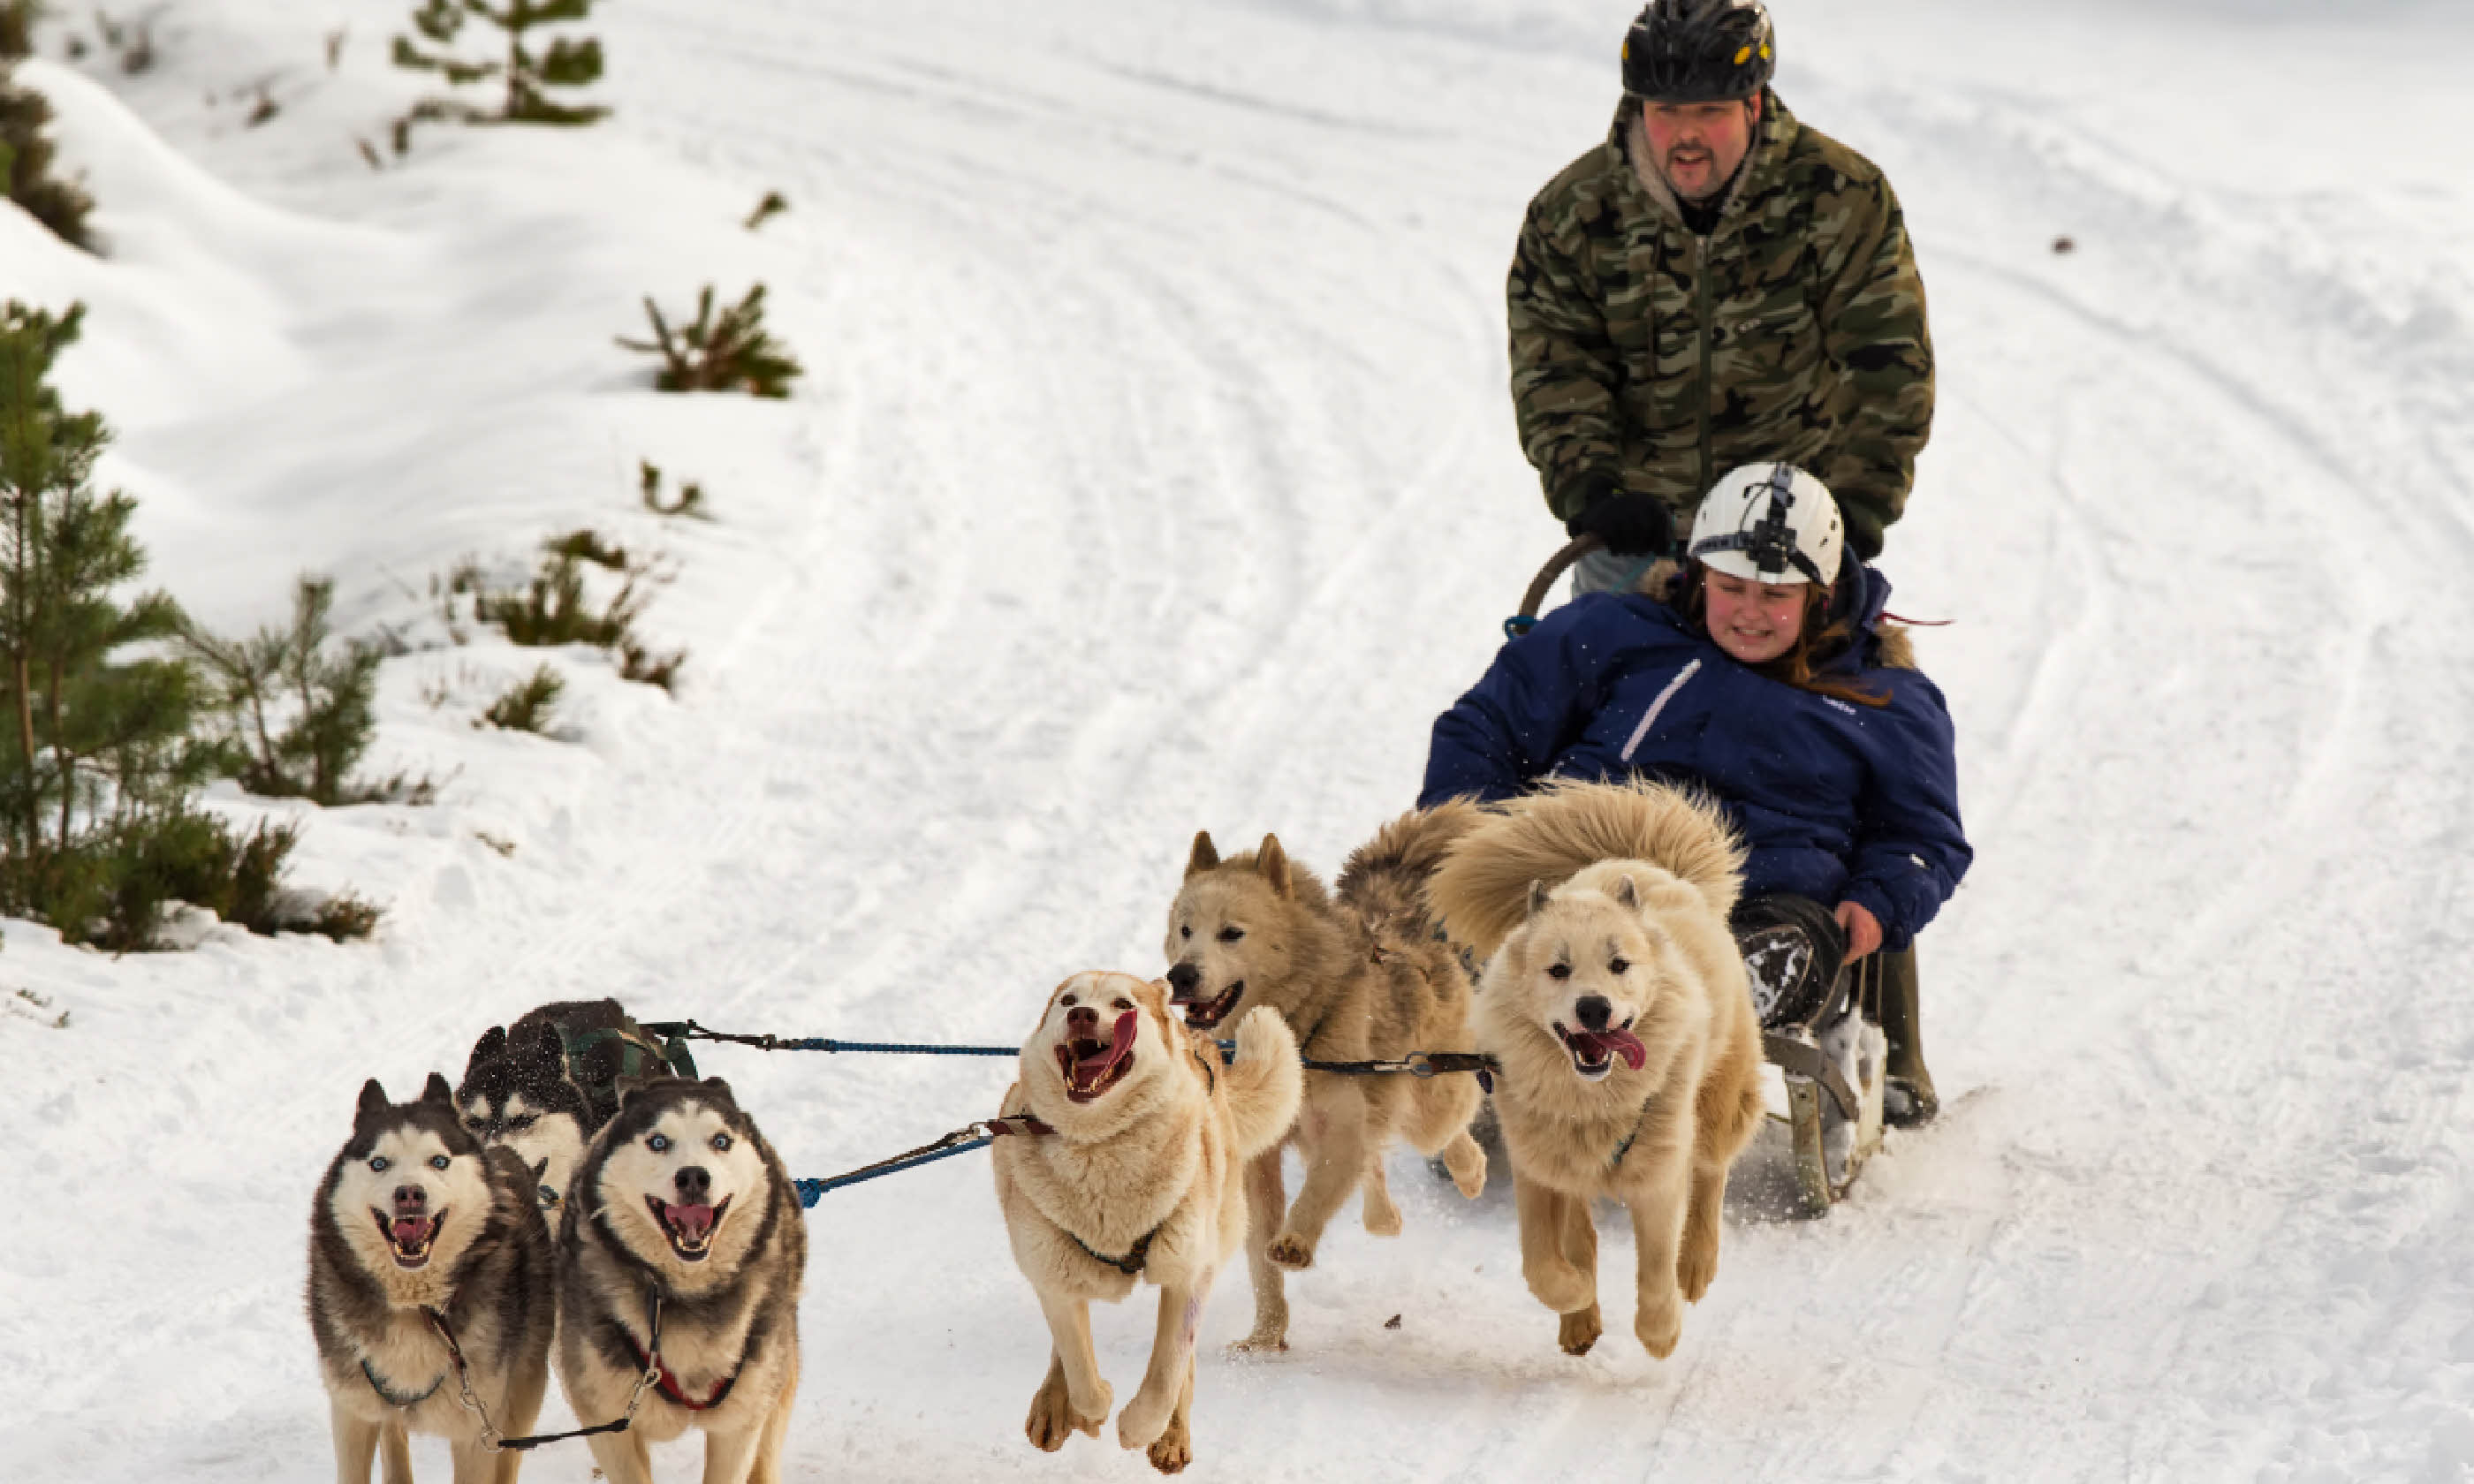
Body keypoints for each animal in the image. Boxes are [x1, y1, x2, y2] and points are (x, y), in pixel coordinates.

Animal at [990, 974, 1296, 1473]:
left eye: (1122, 1004)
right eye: (1068, 1000)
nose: (1081, 1015)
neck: (1099, 1147)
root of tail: (1200, 1040)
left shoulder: (1188, 1274)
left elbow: (1166, 1373)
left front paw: (1141, 1427)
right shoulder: (1049, 1271)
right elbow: (1080, 1368)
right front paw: (1090, 1406)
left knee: (1183, 1364)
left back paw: (1172, 1437)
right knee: (1066, 1341)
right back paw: (1055, 1405)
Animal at [1163, 806, 1484, 1355]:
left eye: (1231, 932)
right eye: (1186, 930)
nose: (1180, 976)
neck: (1296, 1034)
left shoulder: (1338, 1127)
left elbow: (1317, 1193)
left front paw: (1296, 1241)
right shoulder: (1261, 1159)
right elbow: (1260, 1254)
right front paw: (1266, 1334)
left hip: (1424, 1093)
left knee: (1453, 1119)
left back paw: (1469, 1169)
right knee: (1374, 1162)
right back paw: (1384, 1215)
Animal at [1435, 781, 1761, 1365]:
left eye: (1619, 965)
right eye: (1558, 969)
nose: (1593, 1008)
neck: (1592, 1102)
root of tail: (1641, 861)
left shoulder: (1658, 1173)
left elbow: (1654, 1268)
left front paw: (1660, 1332)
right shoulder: (1538, 1169)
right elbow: (1541, 1264)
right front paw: (1577, 1297)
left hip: (1721, 1096)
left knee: (1710, 1175)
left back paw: (1696, 1268)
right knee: (1581, 1236)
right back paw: (1580, 1321)